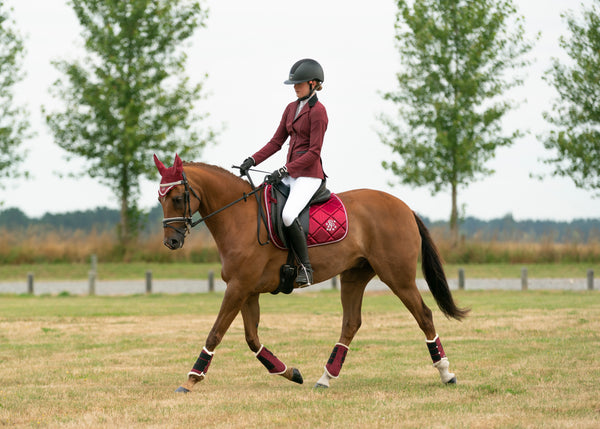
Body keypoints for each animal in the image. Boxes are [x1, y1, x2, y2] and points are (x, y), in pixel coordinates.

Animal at [152, 155, 466, 392]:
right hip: (354, 276)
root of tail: (405, 207)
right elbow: (252, 339)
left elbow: (215, 333)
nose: (171, 242)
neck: (240, 218)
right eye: (159, 199)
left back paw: (446, 373)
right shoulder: (247, 291)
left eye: (177, 198)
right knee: (351, 323)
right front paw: (290, 372)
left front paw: (191, 379)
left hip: (397, 277)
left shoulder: (238, 288)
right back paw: (325, 378)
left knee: (424, 315)